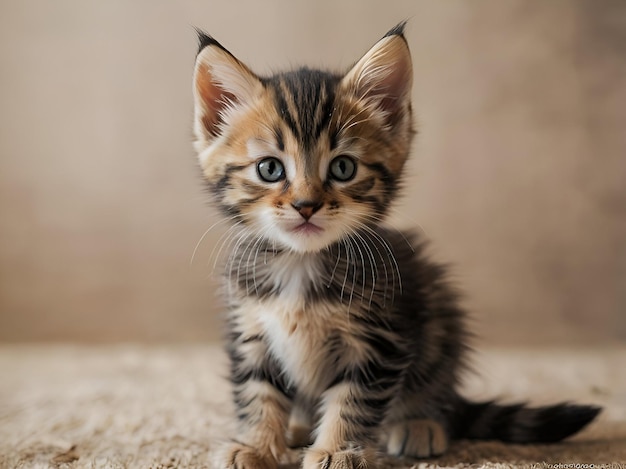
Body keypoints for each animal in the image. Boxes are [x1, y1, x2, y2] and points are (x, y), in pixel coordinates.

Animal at [191, 22, 600, 468]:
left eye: (343, 167)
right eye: (269, 169)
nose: (306, 205)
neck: (301, 264)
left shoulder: (378, 339)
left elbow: (353, 400)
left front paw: (337, 449)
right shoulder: (250, 329)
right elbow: (257, 392)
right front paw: (256, 446)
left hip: (439, 313)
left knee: (437, 391)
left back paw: (420, 423)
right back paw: (298, 428)